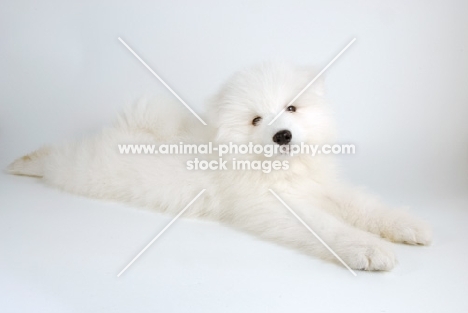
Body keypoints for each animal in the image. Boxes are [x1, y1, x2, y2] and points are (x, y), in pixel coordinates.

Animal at [7, 61, 432, 270]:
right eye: (257, 120)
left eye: (292, 108)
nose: (282, 135)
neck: (284, 170)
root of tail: (125, 129)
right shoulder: (271, 206)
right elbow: (326, 227)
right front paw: (367, 248)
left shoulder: (325, 188)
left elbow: (366, 205)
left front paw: (407, 225)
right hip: (85, 170)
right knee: (57, 157)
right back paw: (23, 162)